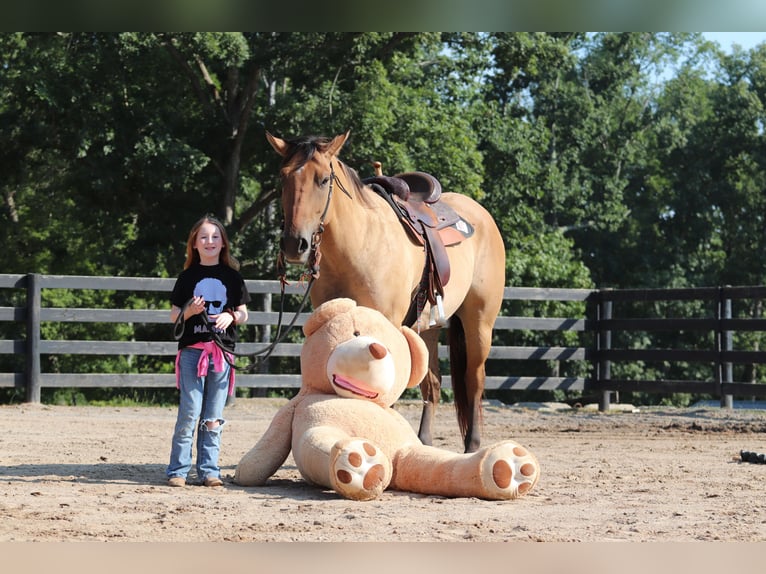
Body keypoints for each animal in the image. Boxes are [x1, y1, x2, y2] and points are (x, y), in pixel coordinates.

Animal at [268, 132, 508, 454]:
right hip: (427, 328)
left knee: (474, 381)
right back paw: (424, 442)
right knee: (432, 384)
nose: (295, 244)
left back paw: (472, 446)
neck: (358, 245)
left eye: (323, 179)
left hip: (479, 323)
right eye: (283, 178)